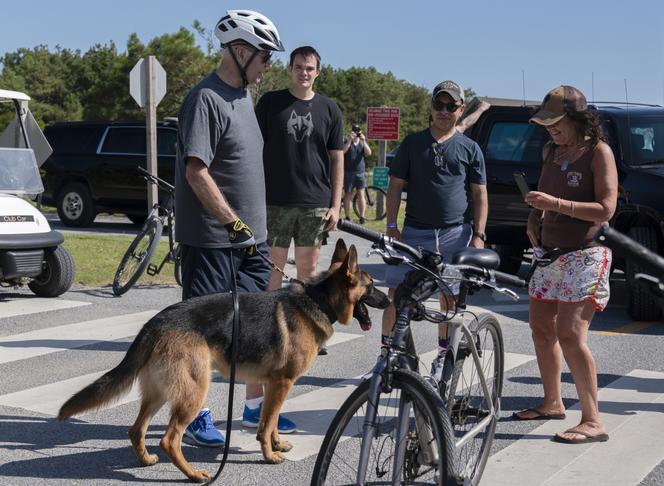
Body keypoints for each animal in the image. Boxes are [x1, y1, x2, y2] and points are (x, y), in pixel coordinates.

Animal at [58, 238, 390, 482]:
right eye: (372, 285)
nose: (389, 300)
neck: (318, 300)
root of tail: (156, 322)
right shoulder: (282, 383)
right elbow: (265, 424)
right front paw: (269, 455)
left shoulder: (273, 385)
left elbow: (270, 422)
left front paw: (276, 443)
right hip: (193, 391)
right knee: (169, 439)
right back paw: (193, 474)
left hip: (159, 392)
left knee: (137, 430)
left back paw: (146, 460)